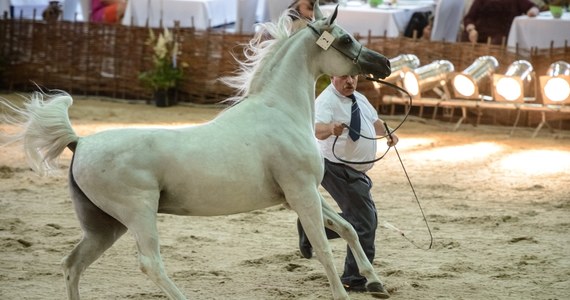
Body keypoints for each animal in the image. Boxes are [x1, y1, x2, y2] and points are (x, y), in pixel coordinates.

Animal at [1, 2, 390, 300]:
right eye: (346, 38)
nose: (384, 64)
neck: (280, 111)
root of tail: (79, 142)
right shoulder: (301, 192)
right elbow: (324, 247)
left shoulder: (302, 193)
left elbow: (347, 229)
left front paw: (375, 282)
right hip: (138, 214)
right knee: (150, 264)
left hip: (104, 226)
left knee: (72, 265)